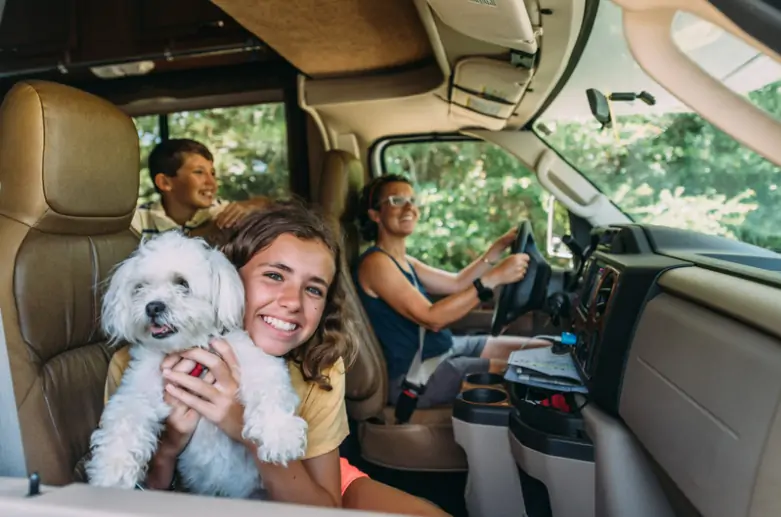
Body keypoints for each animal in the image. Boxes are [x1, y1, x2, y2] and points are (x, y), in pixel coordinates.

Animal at [84, 231, 304, 496]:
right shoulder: (138, 389)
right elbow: (125, 420)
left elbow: (270, 389)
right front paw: (112, 471)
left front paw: (280, 434)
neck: (188, 349)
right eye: (140, 287)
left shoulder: (254, 360)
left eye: (182, 284)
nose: (153, 306)